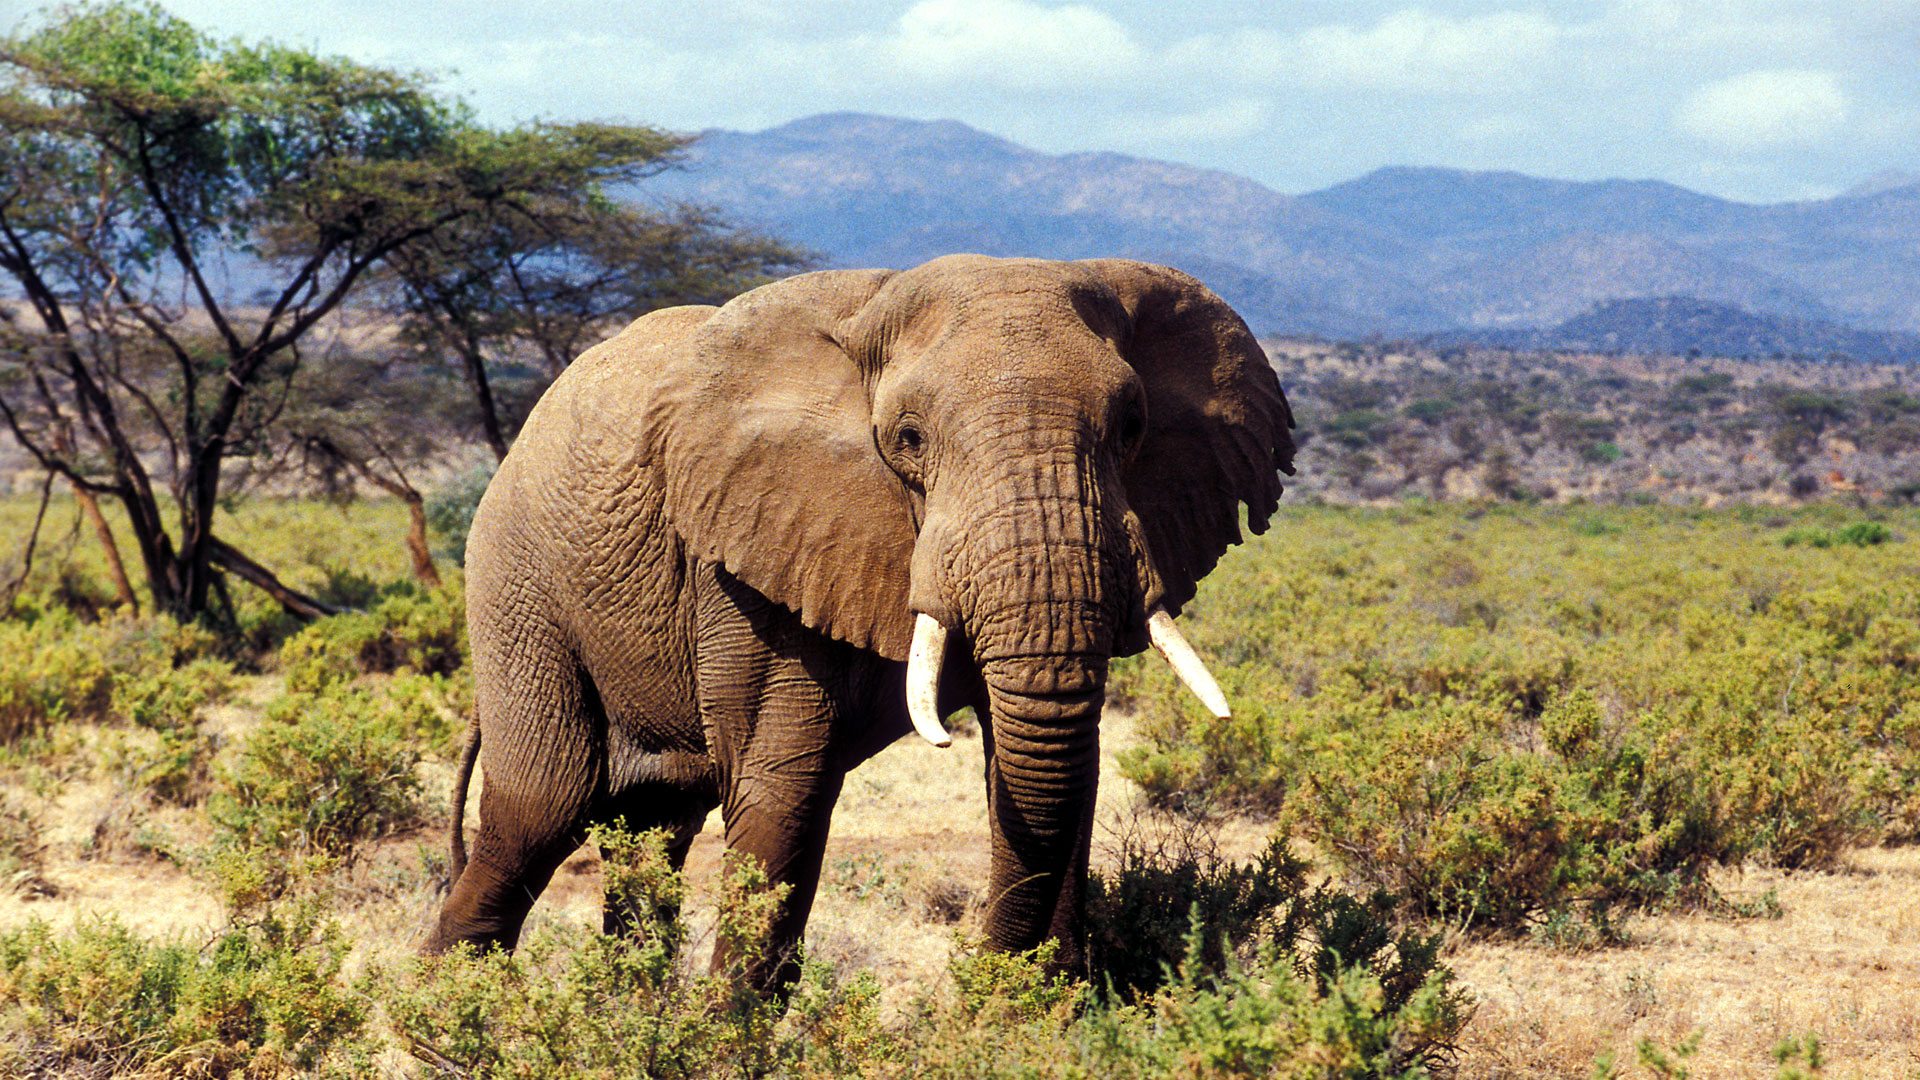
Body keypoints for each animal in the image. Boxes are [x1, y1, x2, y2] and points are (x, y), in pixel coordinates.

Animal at [420, 249, 1290, 976]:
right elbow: (784, 785)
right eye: (907, 438)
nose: (977, 971)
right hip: (515, 577)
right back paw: (448, 1022)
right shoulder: (749, 551)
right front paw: (728, 1037)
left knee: (653, 829)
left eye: (1133, 428)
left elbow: (1056, 762)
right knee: (542, 809)